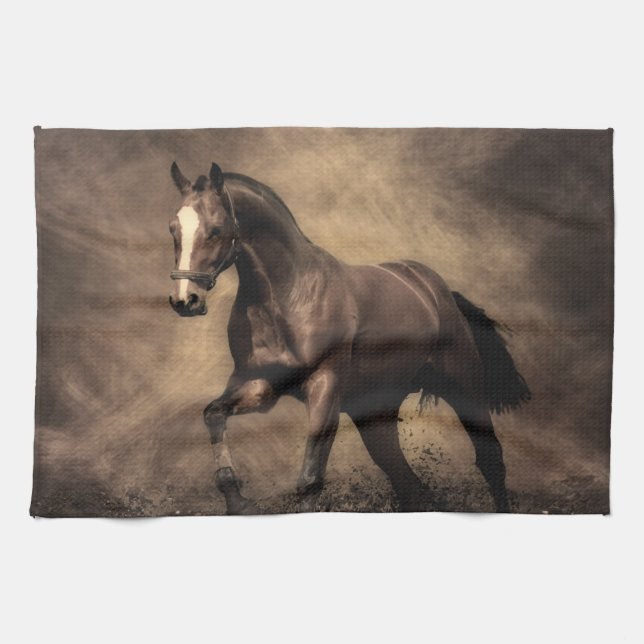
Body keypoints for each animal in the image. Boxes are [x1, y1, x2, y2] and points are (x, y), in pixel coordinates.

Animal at [167, 162, 530, 514]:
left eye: (216, 230)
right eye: (173, 229)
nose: (185, 300)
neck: (288, 296)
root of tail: (436, 291)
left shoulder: (325, 388)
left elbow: (310, 479)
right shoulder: (260, 385)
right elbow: (213, 414)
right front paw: (237, 500)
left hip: (463, 388)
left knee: (491, 461)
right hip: (375, 416)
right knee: (406, 483)